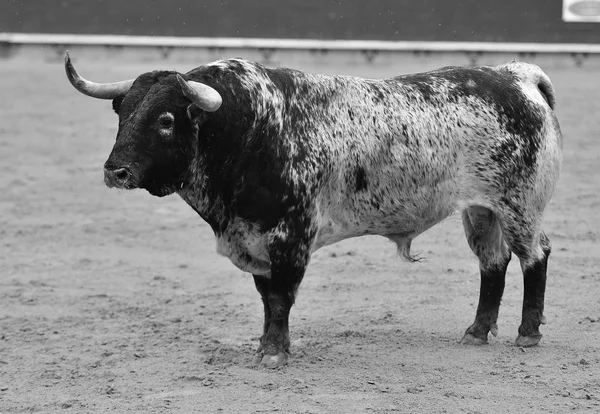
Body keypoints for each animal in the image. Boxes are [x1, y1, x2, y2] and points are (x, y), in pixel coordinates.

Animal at [65, 52, 564, 368]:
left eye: (166, 120)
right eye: (121, 112)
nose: (116, 171)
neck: (249, 129)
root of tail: (515, 75)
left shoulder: (290, 238)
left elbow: (281, 298)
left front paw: (273, 353)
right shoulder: (254, 240)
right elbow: (267, 297)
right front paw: (266, 346)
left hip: (518, 206)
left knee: (534, 257)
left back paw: (527, 333)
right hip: (481, 211)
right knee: (493, 263)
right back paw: (477, 331)